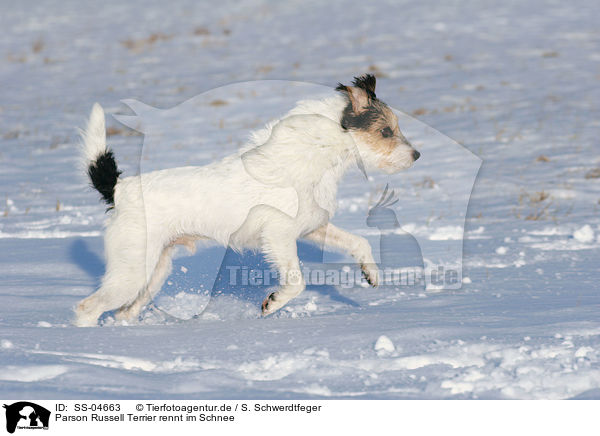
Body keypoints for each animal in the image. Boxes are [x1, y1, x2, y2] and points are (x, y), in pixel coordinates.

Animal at [75, 76, 420, 328]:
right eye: (386, 130)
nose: (416, 154)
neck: (313, 152)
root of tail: (120, 189)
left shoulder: (313, 227)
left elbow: (359, 242)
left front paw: (371, 274)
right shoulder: (278, 235)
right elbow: (296, 282)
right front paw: (272, 303)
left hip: (153, 271)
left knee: (123, 312)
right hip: (132, 269)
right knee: (87, 307)